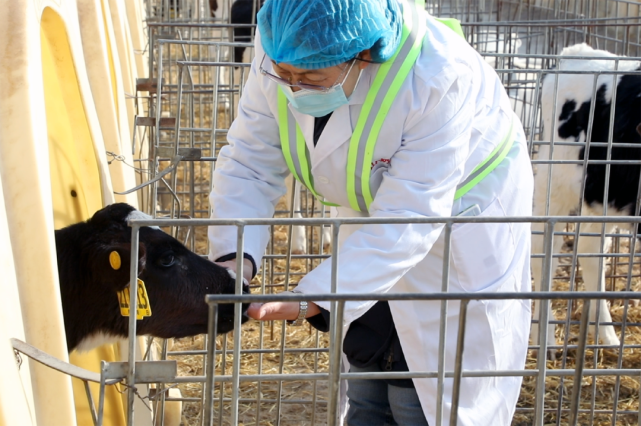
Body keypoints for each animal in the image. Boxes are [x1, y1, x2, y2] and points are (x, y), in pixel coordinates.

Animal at [528, 42, 640, 350]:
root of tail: (577, 51)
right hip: (558, 182)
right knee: (547, 249)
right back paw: (547, 338)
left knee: (589, 249)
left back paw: (605, 336)